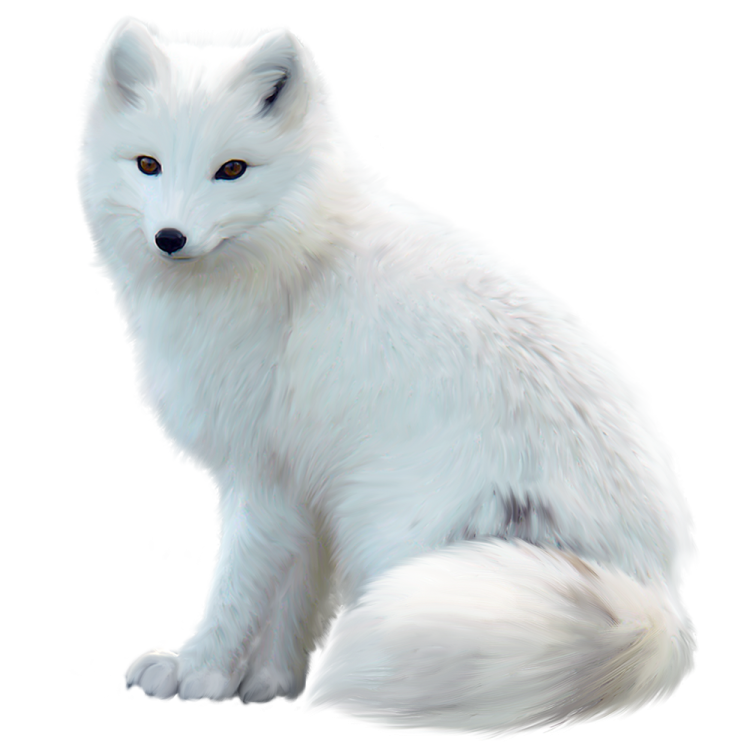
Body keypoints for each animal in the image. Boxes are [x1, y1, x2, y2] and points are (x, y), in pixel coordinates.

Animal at [74, 15, 698, 739]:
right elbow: (294, 599)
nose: (170, 238)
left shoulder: (263, 480)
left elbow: (235, 590)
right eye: (147, 164)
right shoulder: (306, 489)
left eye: (231, 170)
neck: (291, 260)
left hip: (400, 535)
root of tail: (656, 602)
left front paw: (197, 671)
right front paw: (269, 684)